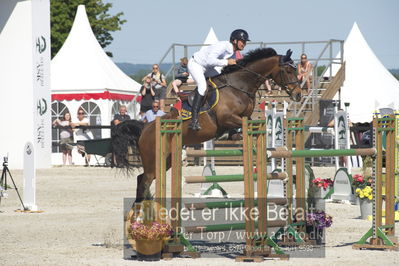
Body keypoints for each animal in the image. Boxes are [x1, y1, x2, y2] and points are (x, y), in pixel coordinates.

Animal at [112, 47, 304, 202]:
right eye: (288, 70)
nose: (298, 94)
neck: (239, 86)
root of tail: (145, 128)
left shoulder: (244, 117)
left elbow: (248, 126)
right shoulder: (227, 118)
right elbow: (245, 125)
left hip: (166, 160)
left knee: (142, 179)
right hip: (154, 159)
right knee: (145, 180)